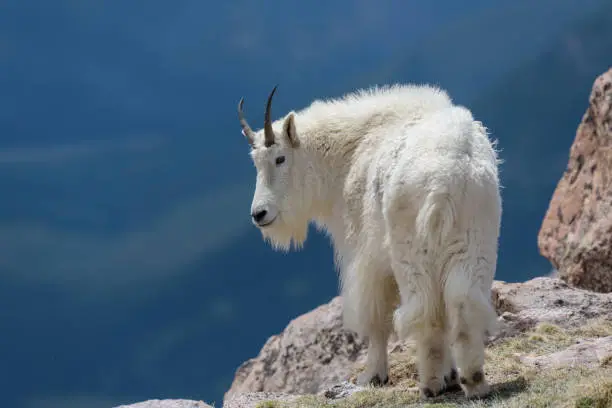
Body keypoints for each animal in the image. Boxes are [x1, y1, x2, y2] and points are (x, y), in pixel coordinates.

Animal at [237, 84, 500, 400]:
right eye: (255, 163)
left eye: (280, 158)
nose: (259, 214)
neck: (348, 154)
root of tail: (445, 179)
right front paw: (451, 375)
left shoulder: (365, 256)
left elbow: (375, 317)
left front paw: (372, 375)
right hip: (475, 240)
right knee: (462, 303)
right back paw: (474, 381)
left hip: (411, 250)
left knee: (425, 309)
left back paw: (431, 383)